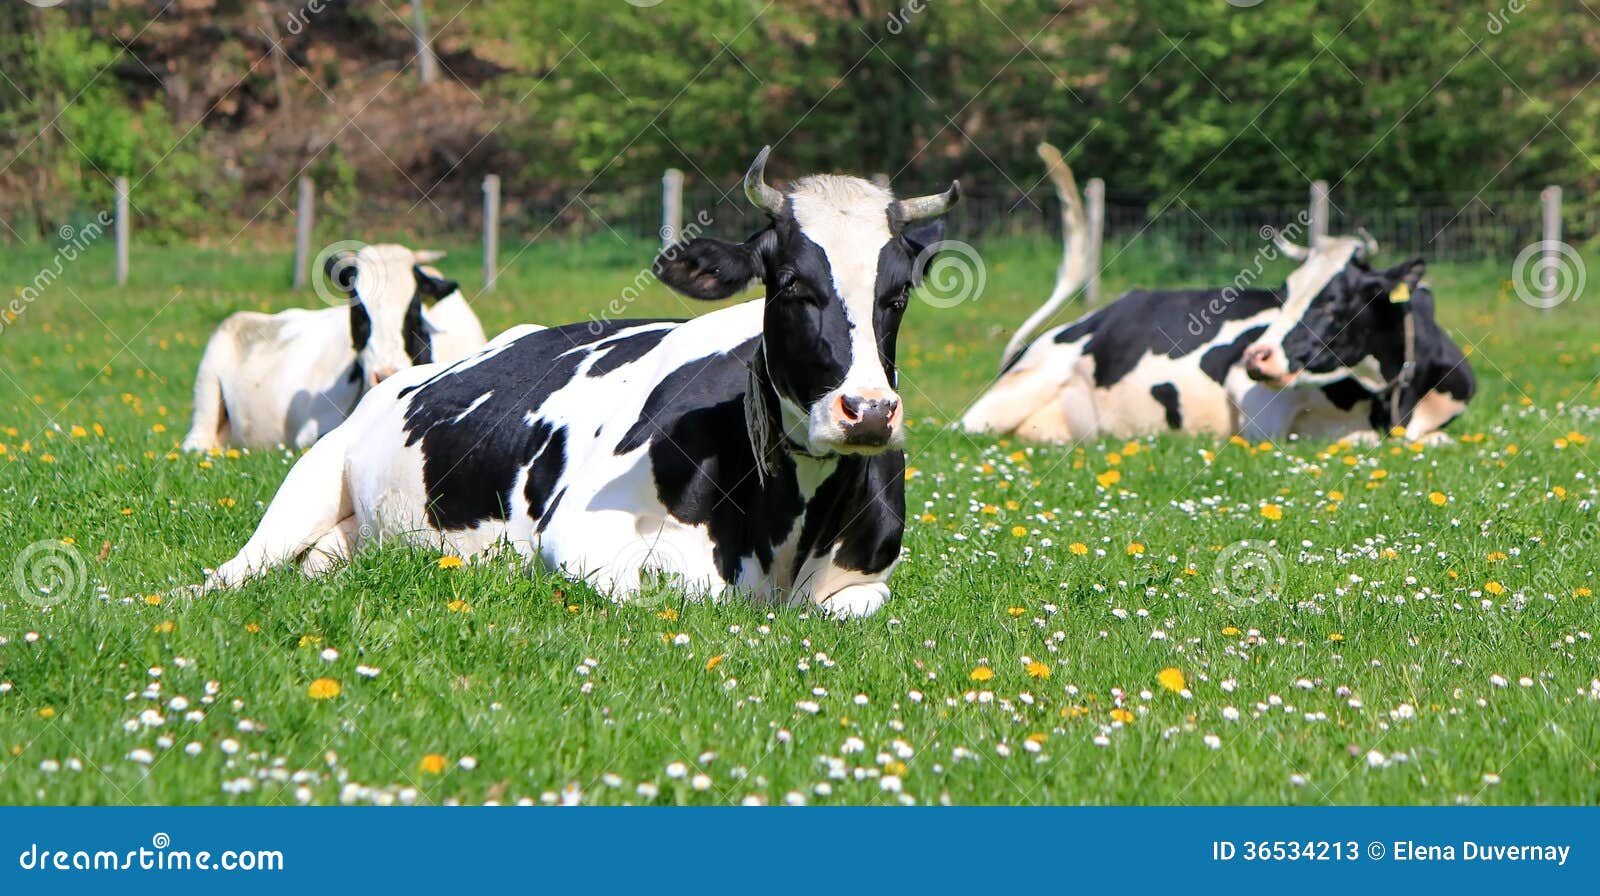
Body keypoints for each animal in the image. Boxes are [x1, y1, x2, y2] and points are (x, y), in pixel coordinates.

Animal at [961, 144, 1473, 445]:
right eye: (1284, 293)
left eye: (1333, 300)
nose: (1255, 356)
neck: (1391, 400)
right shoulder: (1255, 407)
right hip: (1003, 402)